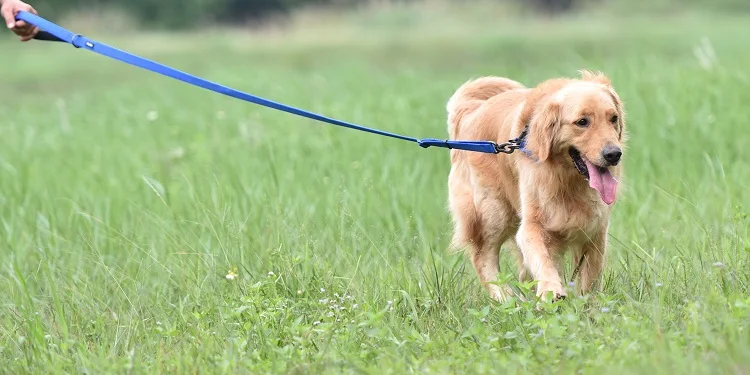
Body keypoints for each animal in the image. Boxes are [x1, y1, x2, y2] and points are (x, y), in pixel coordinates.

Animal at [446, 70, 628, 304]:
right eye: (582, 122)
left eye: (613, 118)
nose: (614, 154)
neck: (566, 179)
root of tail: (470, 113)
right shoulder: (532, 224)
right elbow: (541, 257)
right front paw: (551, 289)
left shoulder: (595, 229)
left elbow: (589, 278)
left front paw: (589, 305)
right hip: (492, 212)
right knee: (483, 256)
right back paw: (506, 298)